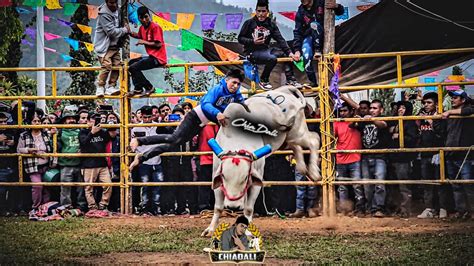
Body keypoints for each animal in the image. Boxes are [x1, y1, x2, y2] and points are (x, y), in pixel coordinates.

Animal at [202, 85, 320, 237]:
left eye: (245, 178)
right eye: (223, 176)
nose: (233, 207)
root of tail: (286, 90)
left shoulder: (256, 179)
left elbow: (248, 209)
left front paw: (247, 231)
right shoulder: (216, 177)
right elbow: (218, 207)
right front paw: (210, 229)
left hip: (298, 133)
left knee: (314, 140)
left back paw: (314, 172)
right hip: (288, 139)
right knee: (297, 148)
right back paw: (304, 168)